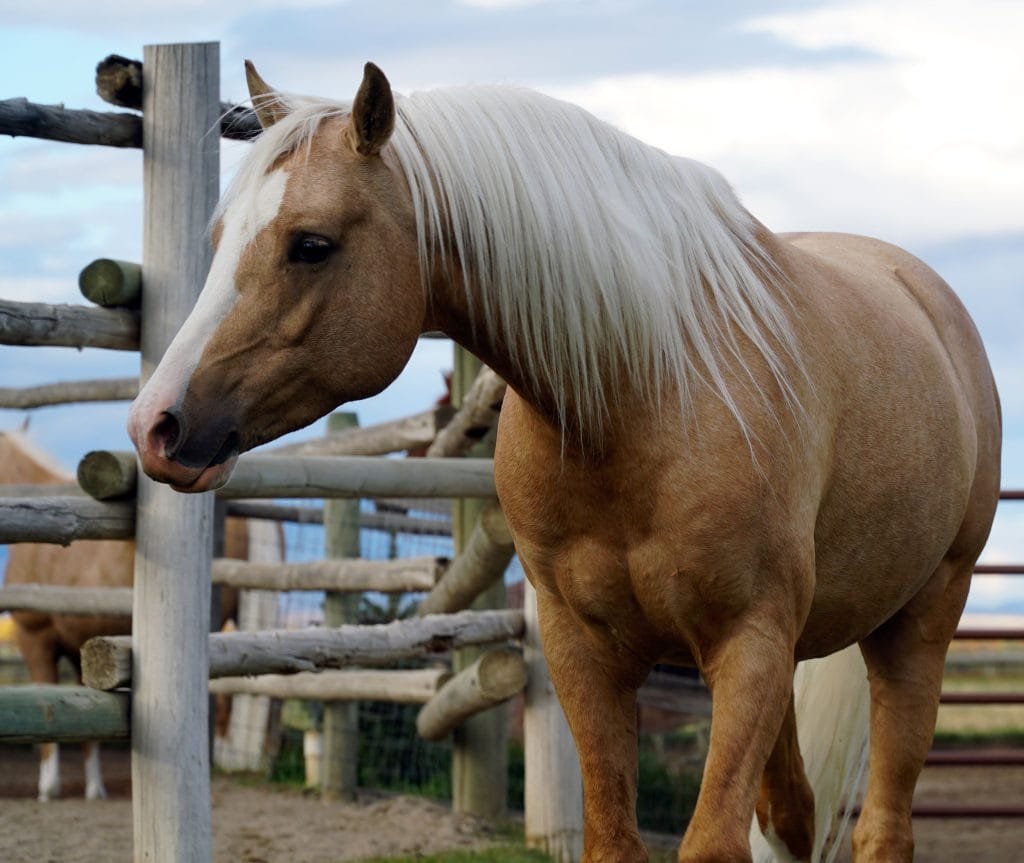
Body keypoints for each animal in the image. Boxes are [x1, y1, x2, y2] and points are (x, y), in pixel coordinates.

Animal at [125, 62, 1001, 862]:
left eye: (311, 244)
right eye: (218, 242)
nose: (154, 425)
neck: (646, 394)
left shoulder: (748, 643)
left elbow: (711, 843)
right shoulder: (586, 647)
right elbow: (616, 839)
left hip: (919, 624)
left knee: (882, 827)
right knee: (792, 813)